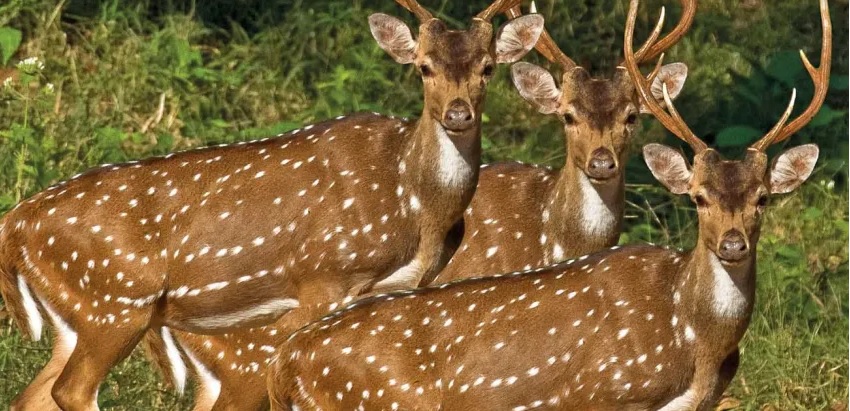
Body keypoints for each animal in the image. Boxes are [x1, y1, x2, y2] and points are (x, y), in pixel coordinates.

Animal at [0, 0, 545, 409]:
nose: (458, 113)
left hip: (83, 311)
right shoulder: (325, 277)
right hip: (117, 301)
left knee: (35, 394)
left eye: (488, 68)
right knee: (71, 391)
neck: (415, 207)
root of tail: (15, 224)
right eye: (424, 67)